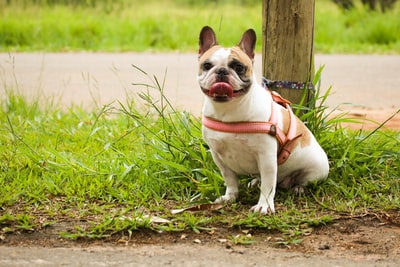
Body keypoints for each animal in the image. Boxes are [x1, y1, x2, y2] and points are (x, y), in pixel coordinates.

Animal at [198, 26, 330, 216]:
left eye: (238, 67)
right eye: (207, 65)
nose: (221, 71)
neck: (228, 110)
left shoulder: (266, 157)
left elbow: (268, 185)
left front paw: (264, 206)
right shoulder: (218, 156)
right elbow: (230, 179)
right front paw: (230, 197)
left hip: (316, 170)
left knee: (302, 181)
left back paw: (298, 188)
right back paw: (255, 182)